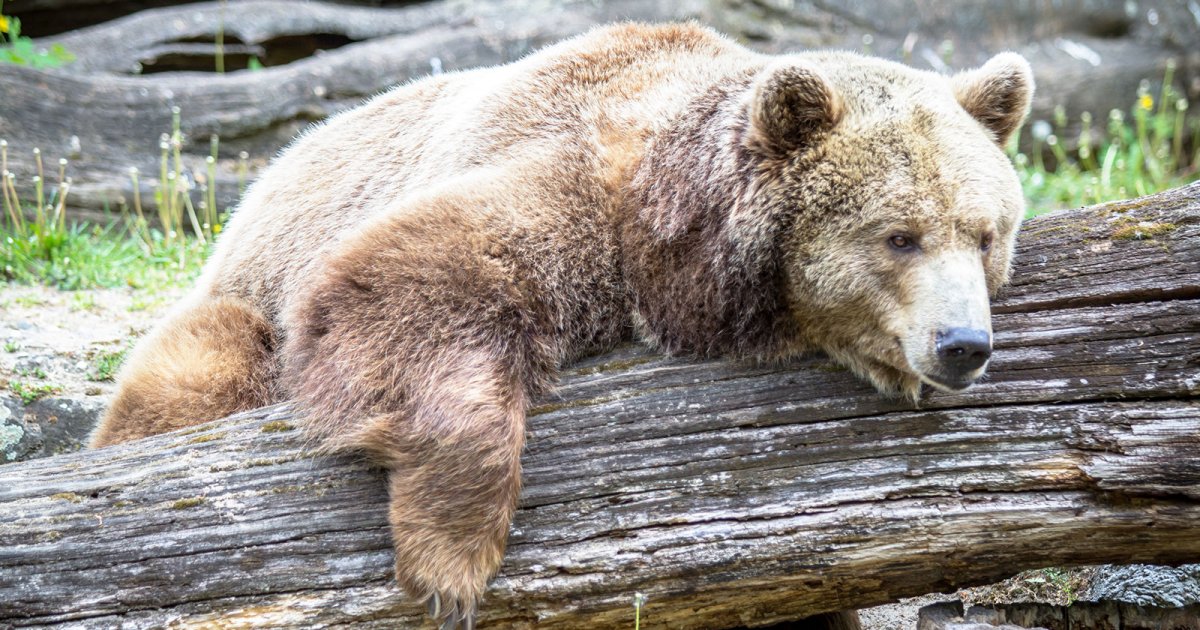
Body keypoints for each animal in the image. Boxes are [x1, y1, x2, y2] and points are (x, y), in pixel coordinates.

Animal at [91, 22, 1032, 624]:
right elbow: (408, 278)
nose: (963, 346)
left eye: (985, 232)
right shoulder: (576, 182)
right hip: (239, 299)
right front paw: (451, 563)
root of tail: (275, 167)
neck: (674, 246)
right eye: (900, 235)